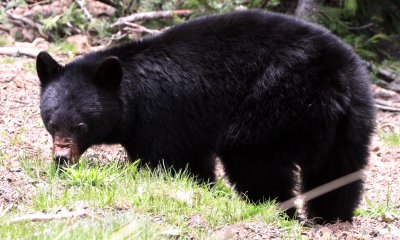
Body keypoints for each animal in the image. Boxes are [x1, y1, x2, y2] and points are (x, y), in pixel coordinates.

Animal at [36, 9, 376, 223]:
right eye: (51, 123)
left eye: (81, 125)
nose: (62, 158)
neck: (130, 97)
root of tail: (334, 81)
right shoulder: (188, 127)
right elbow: (194, 162)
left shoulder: (161, 118)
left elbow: (167, 160)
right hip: (355, 115)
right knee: (340, 168)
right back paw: (331, 216)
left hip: (279, 100)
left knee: (253, 156)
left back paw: (275, 208)